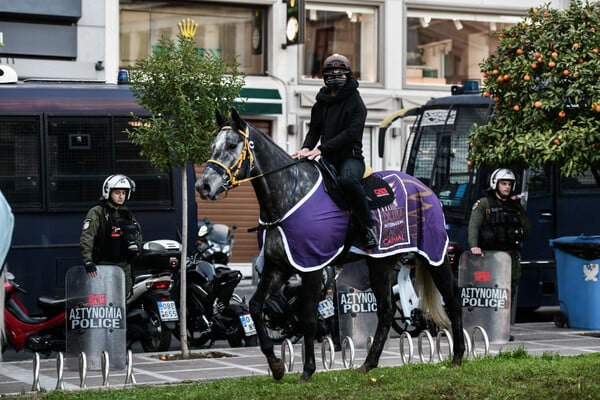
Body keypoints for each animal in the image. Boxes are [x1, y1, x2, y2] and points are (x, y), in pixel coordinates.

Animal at [197, 108, 464, 382]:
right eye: (212, 146)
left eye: (231, 145)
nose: (203, 186)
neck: (289, 196)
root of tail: (425, 188)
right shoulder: (278, 267)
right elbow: (255, 306)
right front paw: (276, 365)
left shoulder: (311, 267)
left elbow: (308, 319)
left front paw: (307, 370)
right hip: (380, 262)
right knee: (387, 311)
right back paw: (368, 363)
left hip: (434, 254)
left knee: (452, 298)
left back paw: (457, 357)